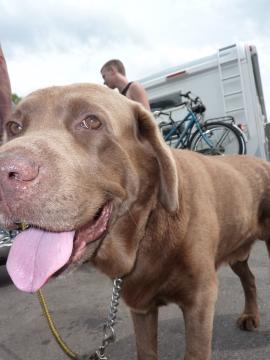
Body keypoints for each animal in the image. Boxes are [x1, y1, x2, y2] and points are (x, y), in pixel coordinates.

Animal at [0, 83, 270, 358]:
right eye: (13, 126)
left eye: (91, 121)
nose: (5, 173)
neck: (146, 231)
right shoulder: (140, 307)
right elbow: (146, 350)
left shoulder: (200, 301)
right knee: (249, 278)